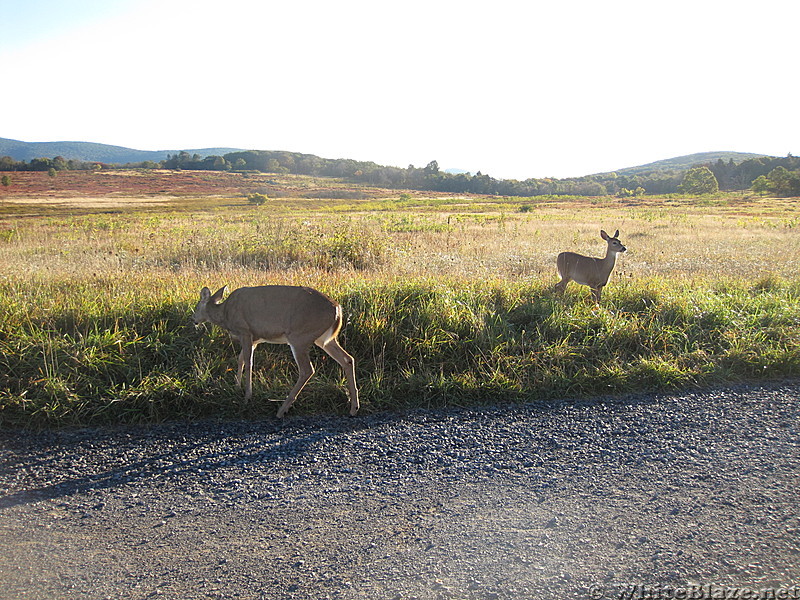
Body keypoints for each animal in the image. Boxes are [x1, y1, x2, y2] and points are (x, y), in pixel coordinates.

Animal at [192, 284, 358, 418]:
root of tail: (337, 309)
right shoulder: (256, 338)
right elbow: (240, 359)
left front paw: (247, 396)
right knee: (348, 359)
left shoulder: (245, 331)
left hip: (299, 336)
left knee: (307, 370)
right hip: (324, 339)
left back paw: (282, 410)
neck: (225, 314)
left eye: (197, 306)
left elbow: (248, 361)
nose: (194, 320)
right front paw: (237, 386)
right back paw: (354, 408)